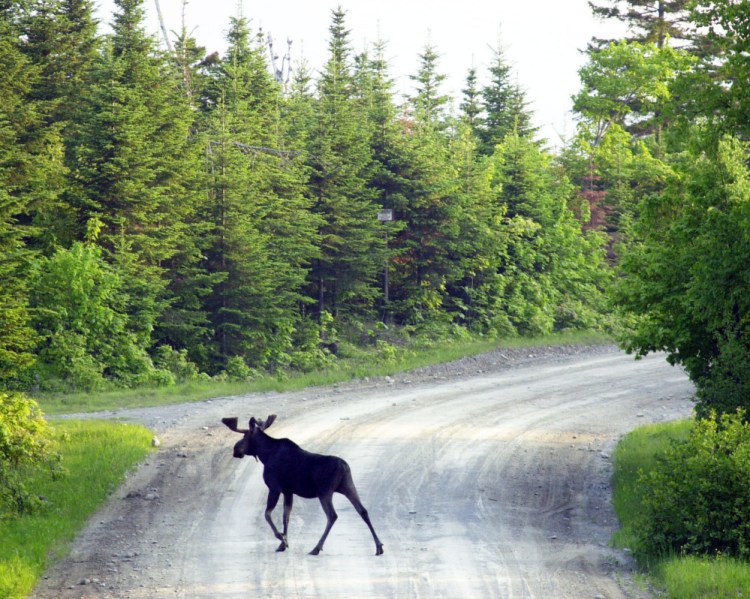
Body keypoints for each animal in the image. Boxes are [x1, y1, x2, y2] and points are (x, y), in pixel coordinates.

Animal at [222, 415, 384, 556]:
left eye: (244, 436)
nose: (235, 450)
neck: (264, 455)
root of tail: (344, 466)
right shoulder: (288, 491)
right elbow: (285, 516)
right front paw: (283, 544)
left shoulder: (274, 487)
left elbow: (267, 514)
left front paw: (281, 538)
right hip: (348, 485)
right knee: (362, 510)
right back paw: (379, 546)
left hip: (325, 491)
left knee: (332, 515)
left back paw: (316, 548)